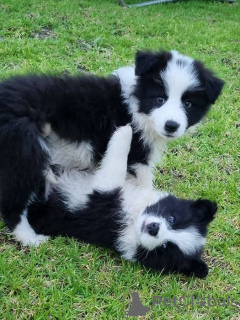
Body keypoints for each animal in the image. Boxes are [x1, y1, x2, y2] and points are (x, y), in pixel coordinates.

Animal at [0, 50, 223, 240]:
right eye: (160, 99)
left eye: (188, 104)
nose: (171, 125)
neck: (136, 106)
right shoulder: (137, 157)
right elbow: (143, 183)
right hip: (23, 145)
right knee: (14, 199)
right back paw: (30, 238)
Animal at [14, 125, 218, 278]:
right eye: (172, 219)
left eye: (165, 247)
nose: (154, 229)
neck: (133, 219)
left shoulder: (103, 197)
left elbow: (114, 166)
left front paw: (124, 132)